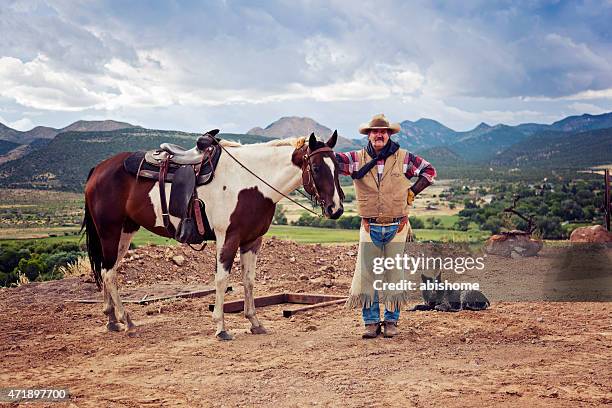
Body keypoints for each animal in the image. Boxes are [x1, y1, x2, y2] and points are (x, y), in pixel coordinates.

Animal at [82, 132, 344, 340]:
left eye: (338, 167)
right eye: (317, 168)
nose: (336, 209)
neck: (251, 183)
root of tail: (98, 168)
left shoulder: (252, 241)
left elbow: (249, 280)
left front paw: (254, 322)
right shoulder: (228, 238)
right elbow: (221, 280)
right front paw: (221, 327)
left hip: (125, 232)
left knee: (107, 270)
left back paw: (112, 320)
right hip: (110, 231)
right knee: (109, 273)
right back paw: (127, 321)